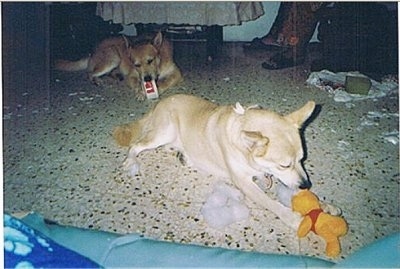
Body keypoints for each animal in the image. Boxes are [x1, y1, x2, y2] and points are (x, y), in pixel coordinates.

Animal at [55, 32, 183, 99]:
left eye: (150, 61)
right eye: (136, 65)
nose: (147, 79)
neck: (159, 65)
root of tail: (92, 52)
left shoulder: (176, 73)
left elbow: (165, 81)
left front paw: (158, 87)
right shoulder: (132, 75)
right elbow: (136, 83)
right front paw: (140, 91)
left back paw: (116, 76)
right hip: (114, 56)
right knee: (89, 73)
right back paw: (98, 81)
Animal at [113, 93, 322, 227]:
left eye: (302, 159)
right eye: (284, 165)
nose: (306, 185)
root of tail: (159, 103)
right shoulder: (244, 183)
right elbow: (269, 202)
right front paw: (291, 218)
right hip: (164, 132)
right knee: (136, 146)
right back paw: (131, 161)